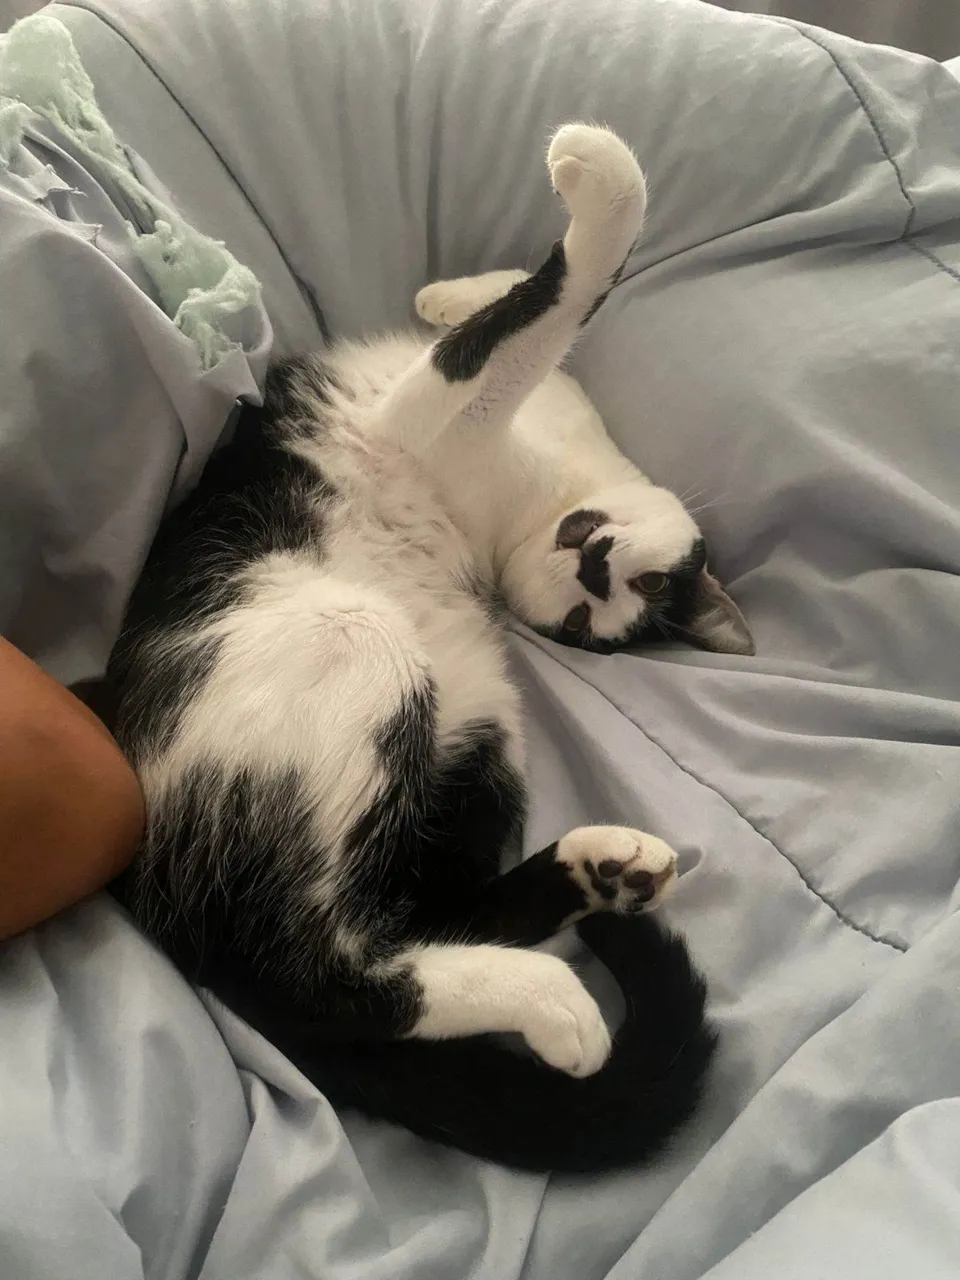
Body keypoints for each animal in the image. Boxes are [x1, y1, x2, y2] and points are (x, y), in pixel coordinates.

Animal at [108, 124, 753, 1172]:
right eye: (638, 592)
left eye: (596, 624)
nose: (594, 568)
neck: (550, 481)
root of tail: (161, 903)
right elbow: (521, 313)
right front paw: (450, 292)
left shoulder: (427, 415)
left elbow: (522, 324)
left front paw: (599, 181)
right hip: (456, 742)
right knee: (398, 923)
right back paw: (595, 881)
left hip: (407, 683)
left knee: (328, 969)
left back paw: (564, 964)